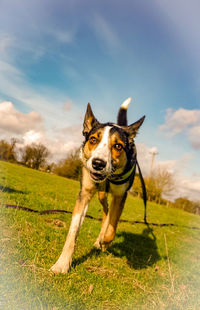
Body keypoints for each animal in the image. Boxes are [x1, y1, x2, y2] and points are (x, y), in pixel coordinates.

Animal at [51, 97, 145, 274]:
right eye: (93, 139)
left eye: (118, 146)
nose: (98, 164)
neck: (108, 177)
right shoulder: (85, 193)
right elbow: (73, 230)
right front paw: (62, 263)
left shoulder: (121, 196)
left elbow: (112, 227)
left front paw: (105, 242)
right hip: (101, 195)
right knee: (105, 212)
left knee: (110, 217)